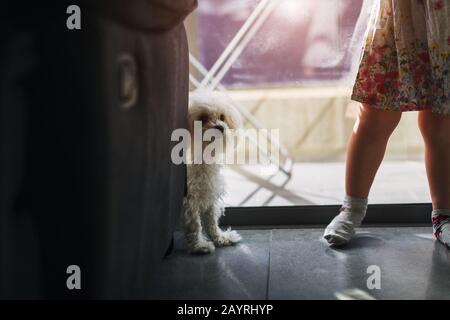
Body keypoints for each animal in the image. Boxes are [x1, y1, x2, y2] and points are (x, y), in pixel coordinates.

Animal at [184, 90, 244, 255]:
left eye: (222, 117)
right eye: (202, 118)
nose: (220, 127)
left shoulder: (209, 191)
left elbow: (211, 220)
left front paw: (220, 238)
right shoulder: (189, 199)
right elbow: (194, 224)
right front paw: (198, 246)